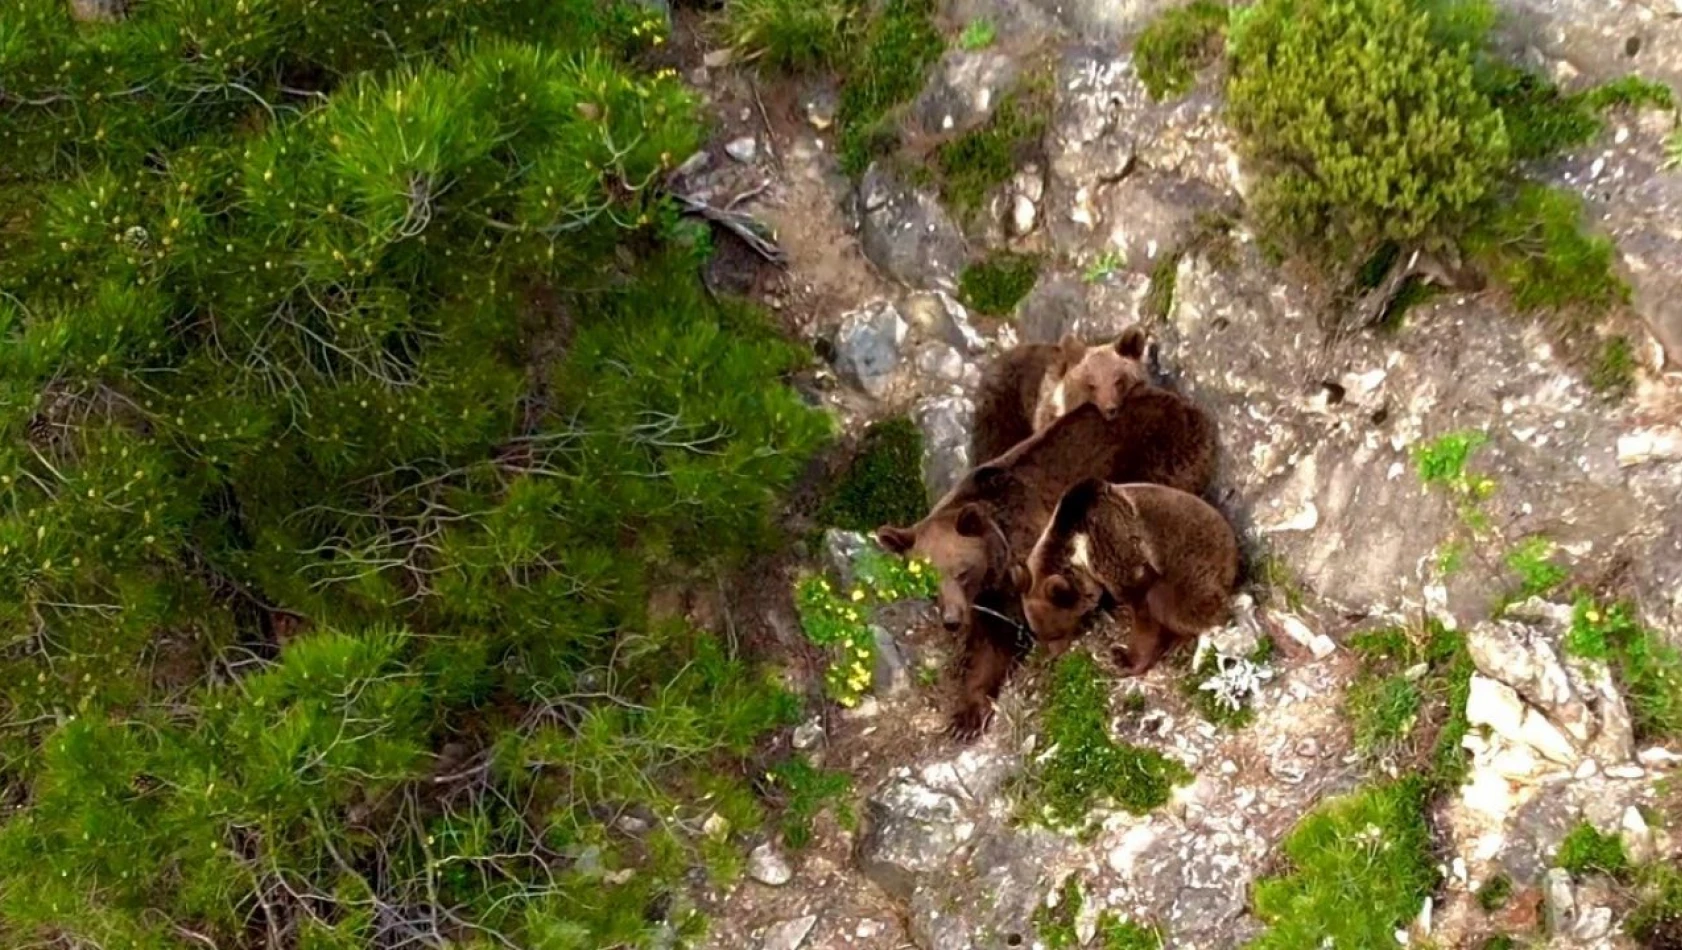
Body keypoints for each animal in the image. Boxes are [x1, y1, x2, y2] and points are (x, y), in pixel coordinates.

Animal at [1009, 480, 1237, 672]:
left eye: (1055, 633)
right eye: (1037, 633)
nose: (1050, 657)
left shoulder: (1113, 546)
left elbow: (1142, 606)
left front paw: (1125, 657)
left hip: (1194, 565)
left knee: (1174, 602)